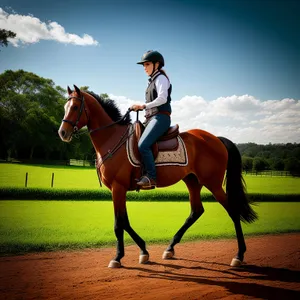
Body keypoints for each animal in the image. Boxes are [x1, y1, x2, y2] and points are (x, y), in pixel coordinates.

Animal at [58, 85, 258, 270]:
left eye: (75, 107)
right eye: (65, 106)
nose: (62, 133)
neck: (112, 138)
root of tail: (217, 138)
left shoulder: (118, 187)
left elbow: (118, 223)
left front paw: (118, 257)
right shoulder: (119, 190)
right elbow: (125, 221)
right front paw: (143, 251)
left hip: (213, 184)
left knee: (233, 211)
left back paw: (239, 255)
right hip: (192, 181)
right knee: (196, 211)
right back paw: (170, 248)